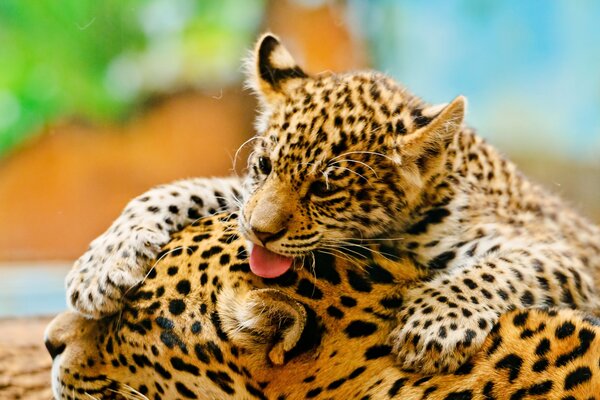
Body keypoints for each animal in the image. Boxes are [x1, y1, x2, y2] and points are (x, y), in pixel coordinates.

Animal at [65, 32, 600, 374]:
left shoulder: (569, 254)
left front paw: (431, 325)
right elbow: (181, 189)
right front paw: (102, 267)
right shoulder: (243, 197)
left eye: (324, 188)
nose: (260, 234)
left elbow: (503, 267)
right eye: (264, 165)